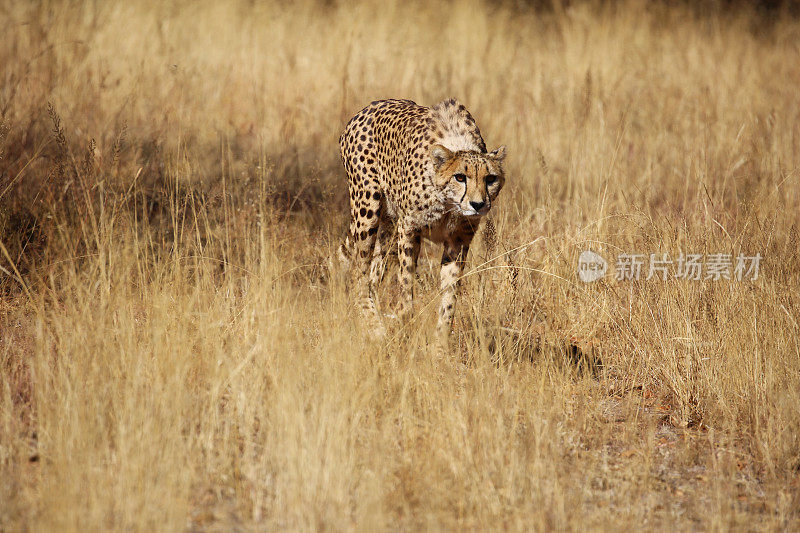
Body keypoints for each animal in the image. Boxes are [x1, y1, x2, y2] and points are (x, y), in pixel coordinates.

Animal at [338, 97, 506, 342]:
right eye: (460, 177)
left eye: (490, 179)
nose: (478, 204)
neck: (448, 205)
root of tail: (368, 107)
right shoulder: (409, 228)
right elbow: (406, 284)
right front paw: (403, 324)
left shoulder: (458, 242)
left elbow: (449, 297)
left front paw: (441, 343)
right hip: (368, 208)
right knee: (358, 272)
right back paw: (373, 326)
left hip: (389, 227)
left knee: (372, 275)